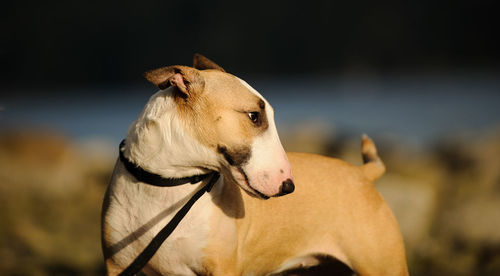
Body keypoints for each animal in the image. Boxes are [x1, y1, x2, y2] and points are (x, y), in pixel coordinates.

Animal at [101, 54, 410, 276]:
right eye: (253, 116)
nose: (288, 186)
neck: (169, 183)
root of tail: (362, 174)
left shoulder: (223, 269)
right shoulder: (117, 267)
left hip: (384, 265)